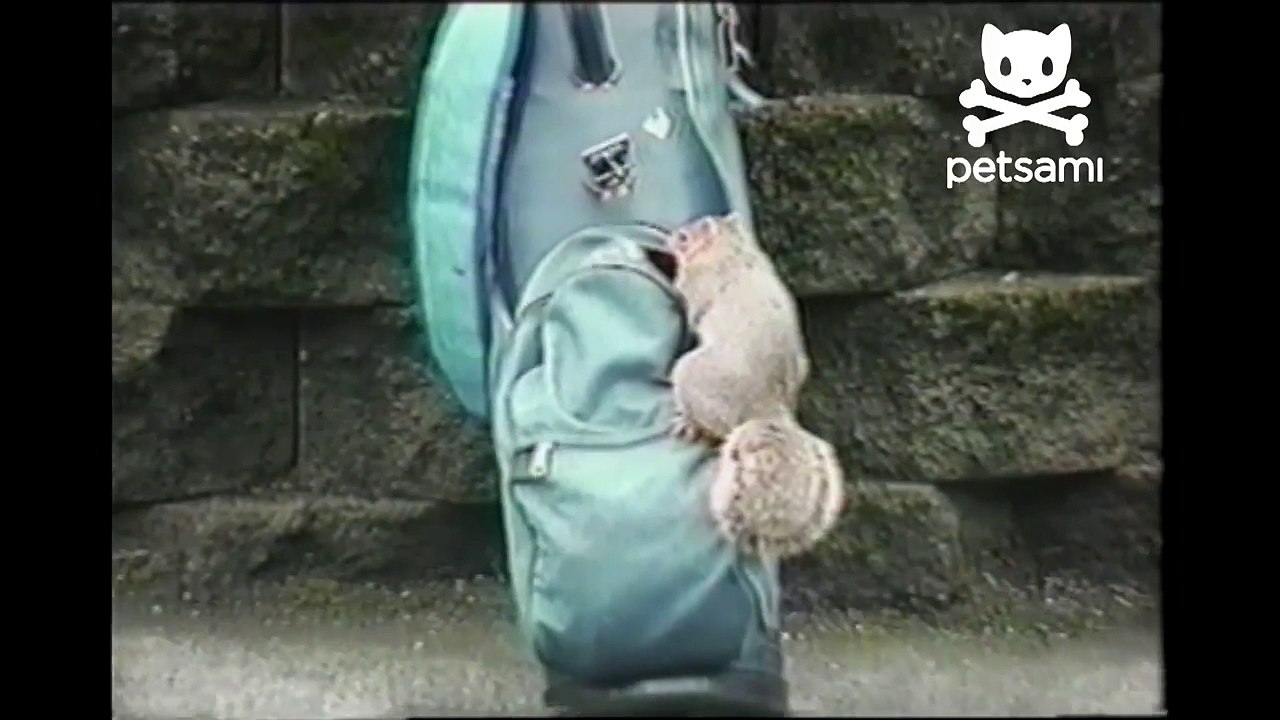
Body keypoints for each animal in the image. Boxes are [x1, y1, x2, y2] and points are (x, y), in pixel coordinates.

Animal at [665, 212, 846, 560]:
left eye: (684, 238)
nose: (668, 238)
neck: (734, 249)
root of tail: (766, 407)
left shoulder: (700, 284)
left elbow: (687, 298)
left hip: (693, 376)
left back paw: (688, 422)